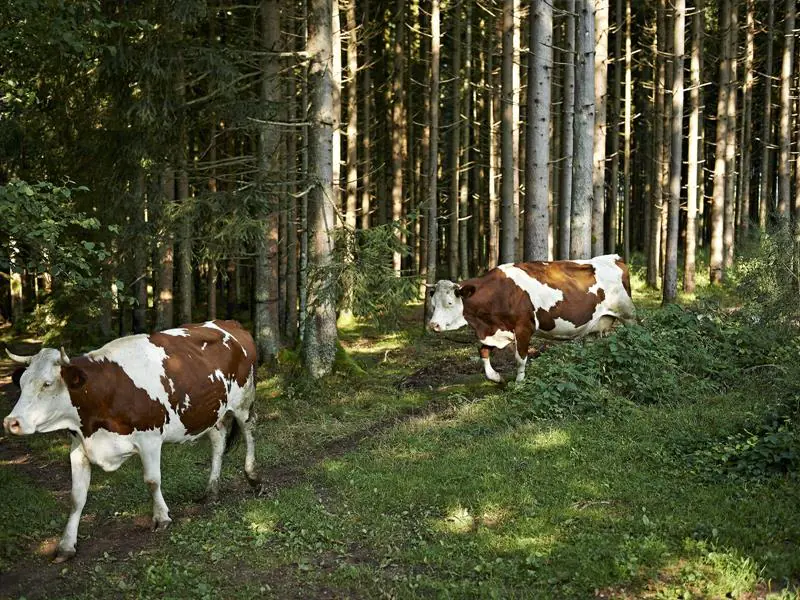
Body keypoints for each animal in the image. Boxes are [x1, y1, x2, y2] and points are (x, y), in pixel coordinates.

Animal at [3, 322, 260, 560]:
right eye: (22, 382)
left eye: (47, 383)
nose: (10, 422)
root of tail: (228, 324)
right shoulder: (79, 447)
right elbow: (76, 497)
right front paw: (66, 545)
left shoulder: (150, 438)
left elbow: (152, 480)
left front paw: (161, 517)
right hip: (212, 412)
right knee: (218, 442)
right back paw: (211, 491)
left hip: (243, 402)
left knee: (249, 431)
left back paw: (253, 478)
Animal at [424, 255, 636, 382]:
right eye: (433, 303)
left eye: (449, 303)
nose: (433, 325)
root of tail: (614, 257)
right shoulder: (496, 329)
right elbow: (483, 351)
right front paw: (496, 377)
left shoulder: (524, 328)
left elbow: (520, 358)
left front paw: (519, 383)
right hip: (594, 324)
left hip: (628, 314)